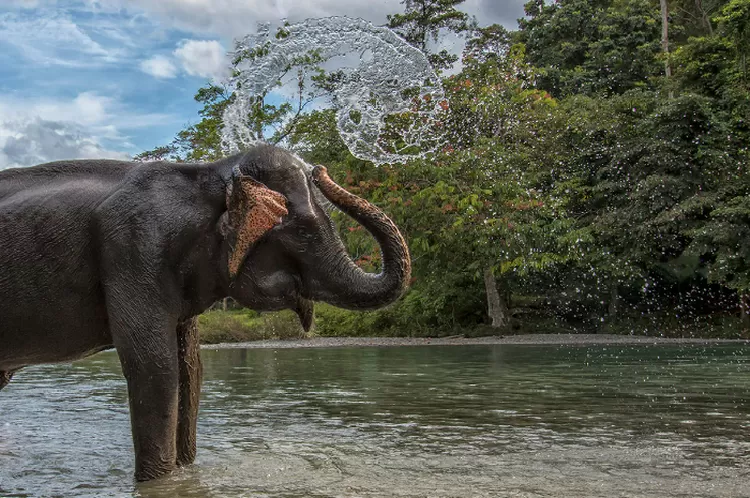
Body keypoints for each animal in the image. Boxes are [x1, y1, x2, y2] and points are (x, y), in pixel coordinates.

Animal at [0, 145, 412, 482]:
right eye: (304, 232)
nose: (321, 170)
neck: (208, 176)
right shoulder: (134, 249)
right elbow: (155, 367)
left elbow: (191, 370)